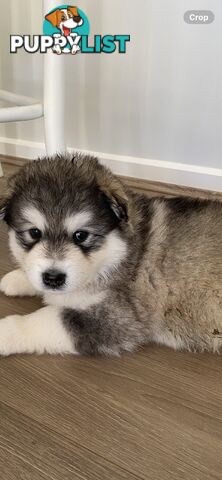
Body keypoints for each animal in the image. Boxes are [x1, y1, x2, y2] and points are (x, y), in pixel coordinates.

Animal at [0, 154, 222, 356]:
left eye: (81, 235)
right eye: (34, 233)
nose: (53, 278)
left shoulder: (119, 318)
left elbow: (47, 319)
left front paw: (5, 332)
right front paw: (17, 278)